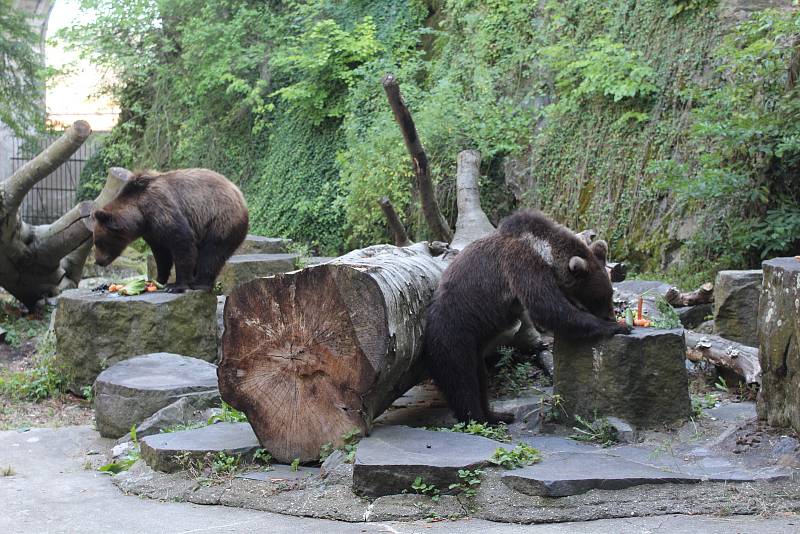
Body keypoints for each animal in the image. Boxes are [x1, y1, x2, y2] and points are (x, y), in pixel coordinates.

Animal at [91, 168, 247, 294]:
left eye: (98, 242)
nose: (98, 261)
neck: (141, 215)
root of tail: (240, 195)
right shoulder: (152, 232)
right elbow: (161, 255)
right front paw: (156, 280)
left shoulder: (161, 210)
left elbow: (182, 243)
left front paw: (175, 286)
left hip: (220, 220)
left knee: (212, 253)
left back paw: (200, 283)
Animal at [424, 211, 632, 426]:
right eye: (599, 298)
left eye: (610, 293)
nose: (610, 315)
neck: (544, 252)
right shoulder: (521, 265)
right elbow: (547, 307)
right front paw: (615, 326)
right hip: (455, 332)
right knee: (461, 379)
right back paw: (478, 418)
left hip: (475, 341)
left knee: (480, 376)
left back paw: (498, 415)